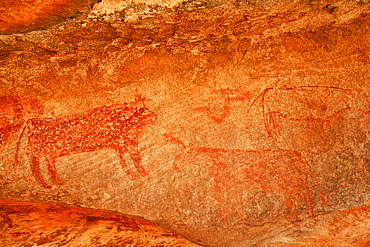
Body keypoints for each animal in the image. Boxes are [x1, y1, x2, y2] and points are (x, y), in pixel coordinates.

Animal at [15, 99, 157, 188]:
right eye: (143, 112)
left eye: (147, 109)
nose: (155, 116)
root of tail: (31, 122)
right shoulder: (122, 145)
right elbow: (130, 163)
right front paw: (138, 177)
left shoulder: (126, 146)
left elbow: (133, 162)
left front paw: (142, 176)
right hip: (37, 152)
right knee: (35, 167)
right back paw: (48, 185)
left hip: (48, 153)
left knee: (49, 168)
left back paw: (56, 183)